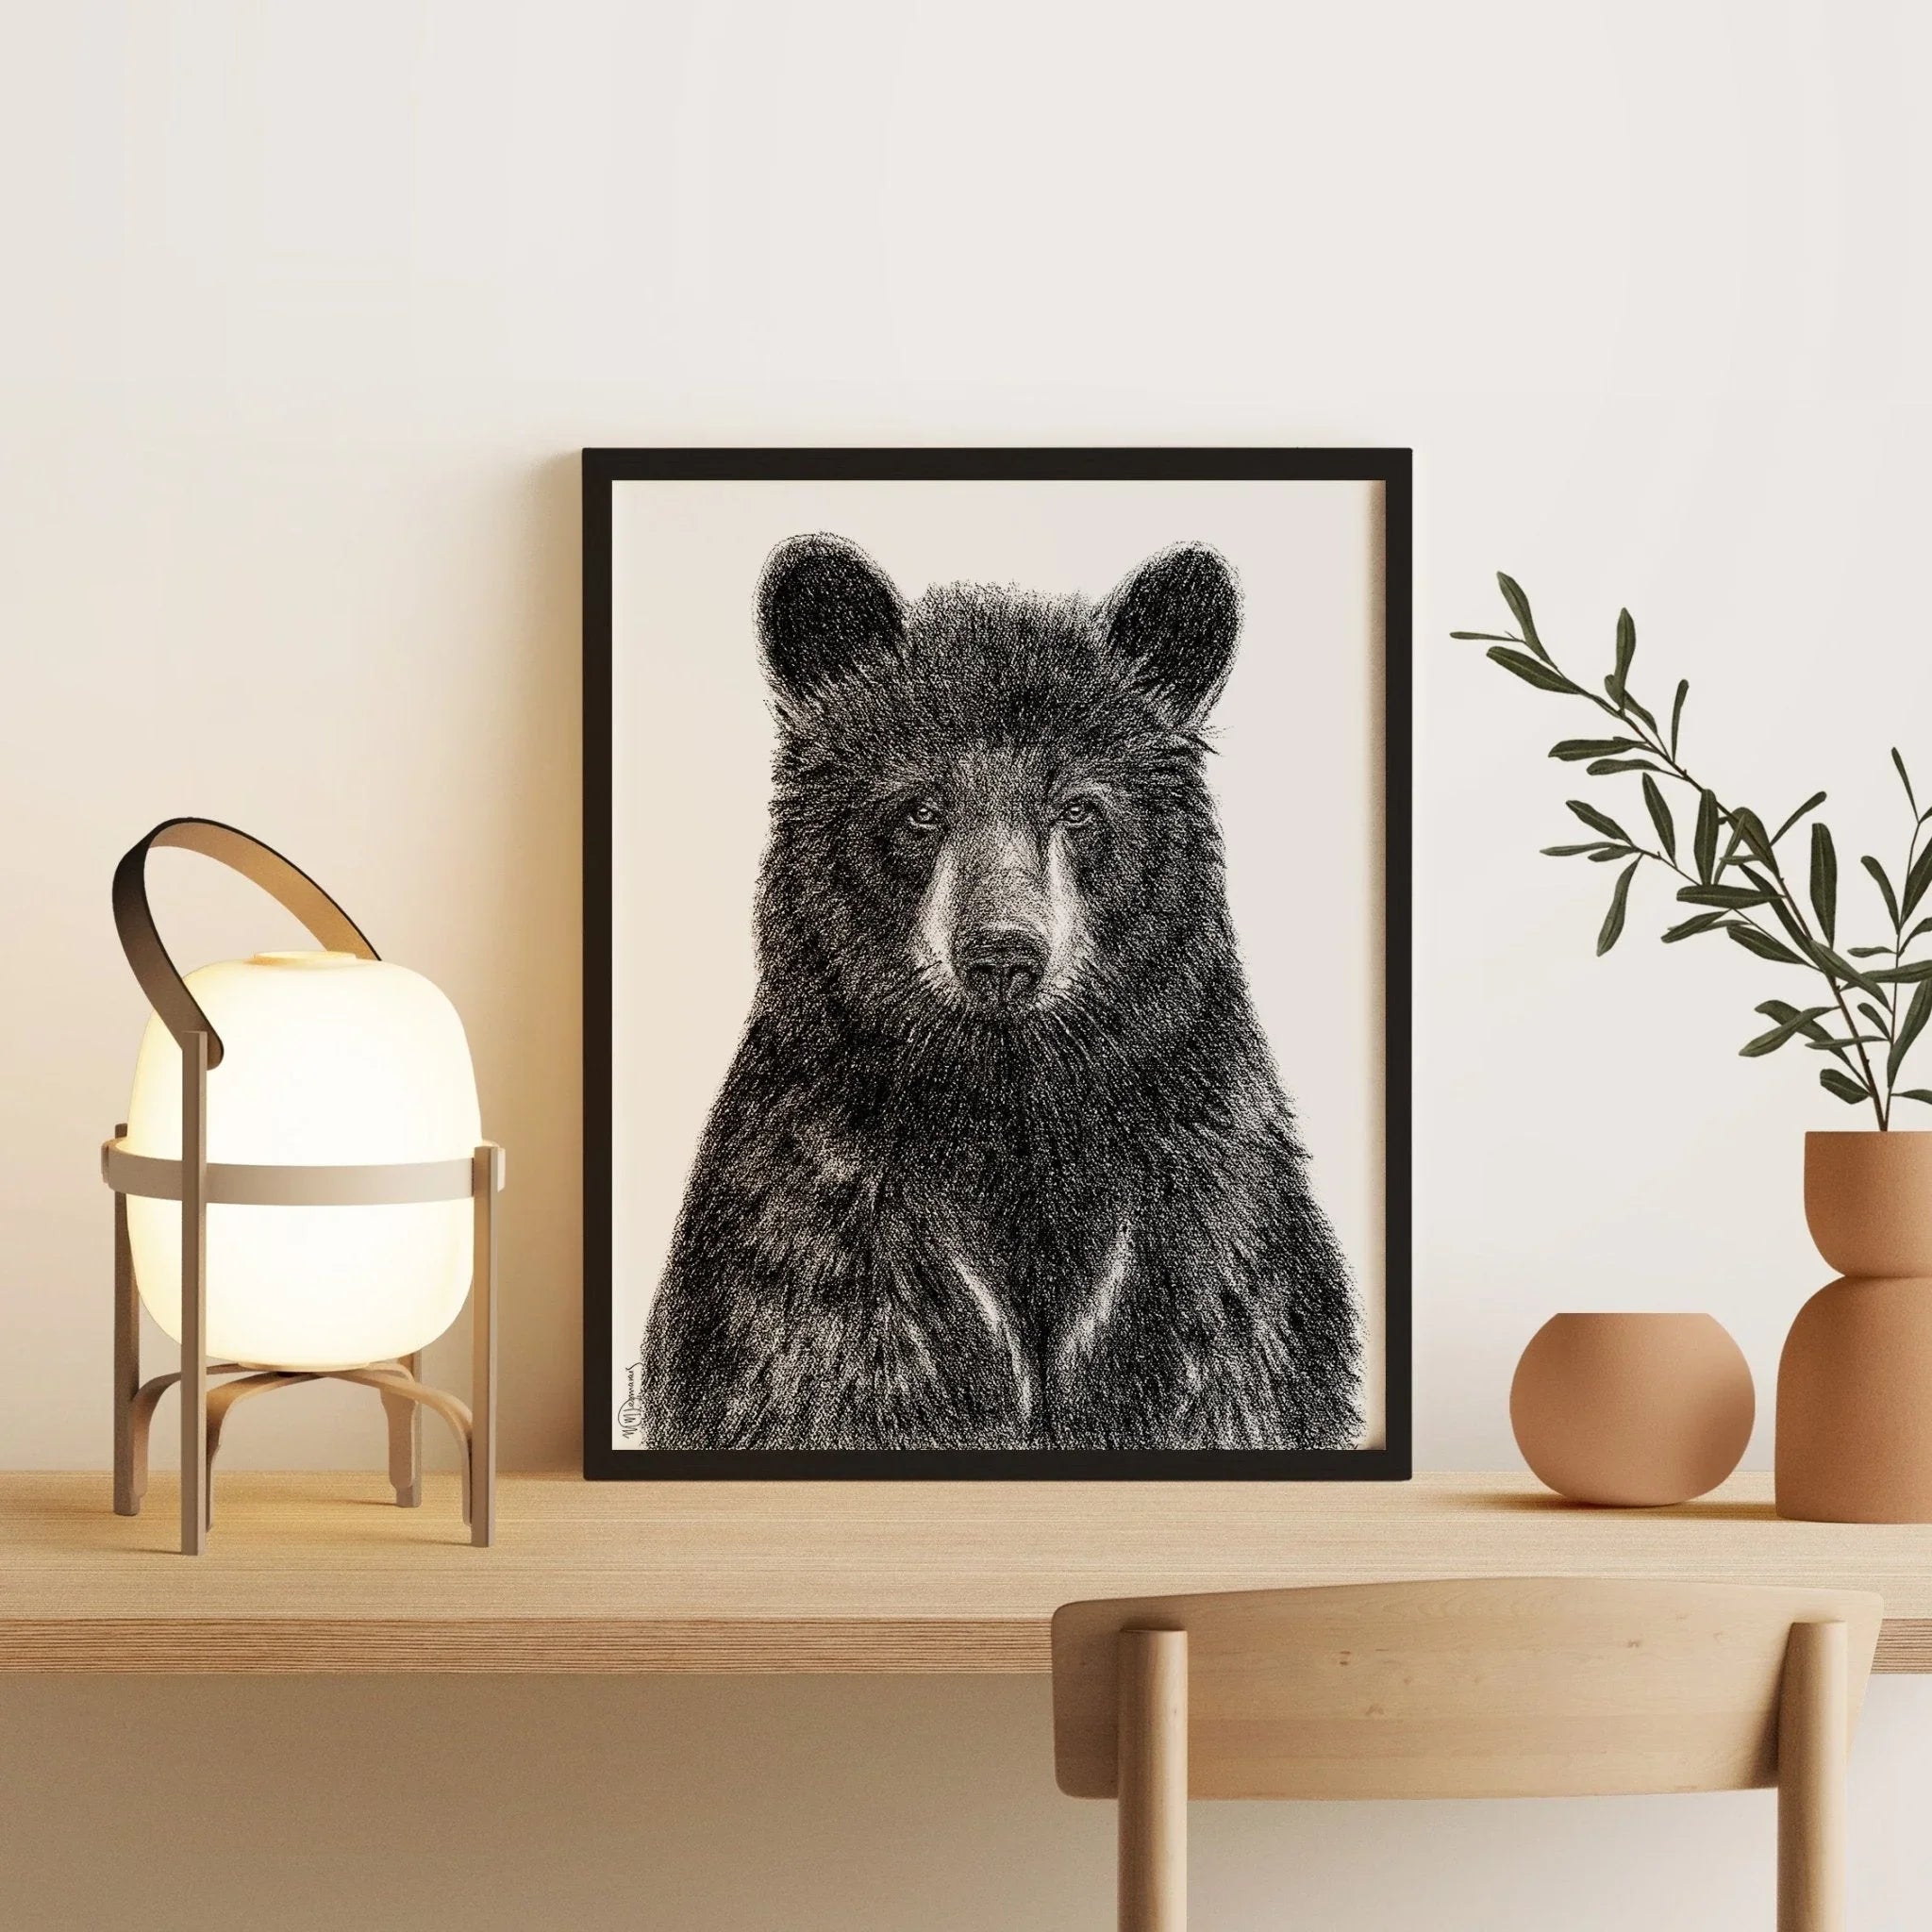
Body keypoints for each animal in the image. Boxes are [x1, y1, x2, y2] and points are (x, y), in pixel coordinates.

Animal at [638, 534, 1361, 1452]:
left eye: (1079, 809)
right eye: (920, 808)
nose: (1003, 955)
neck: (1009, 1109)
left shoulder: (1204, 1241)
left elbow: (1232, 1368)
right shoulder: (825, 1243)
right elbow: (824, 1371)